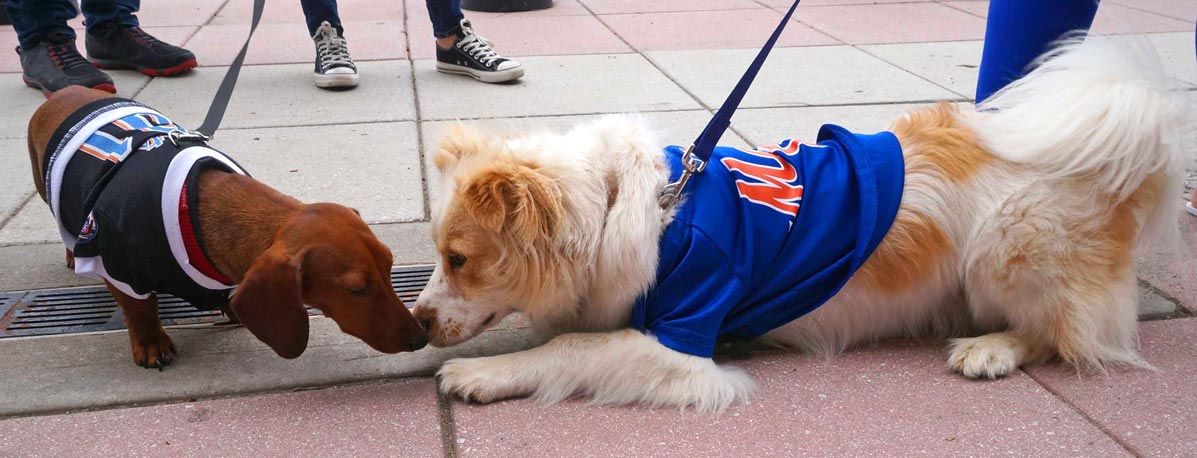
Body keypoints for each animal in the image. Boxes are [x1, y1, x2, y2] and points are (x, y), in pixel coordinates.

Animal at [416, 40, 1192, 411]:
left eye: (459, 258)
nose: (417, 322)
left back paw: (990, 349)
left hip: (1008, 247)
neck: (626, 208)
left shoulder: (684, 340)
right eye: (440, 253)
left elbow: (572, 346)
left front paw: (483, 373)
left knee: (1068, 335)